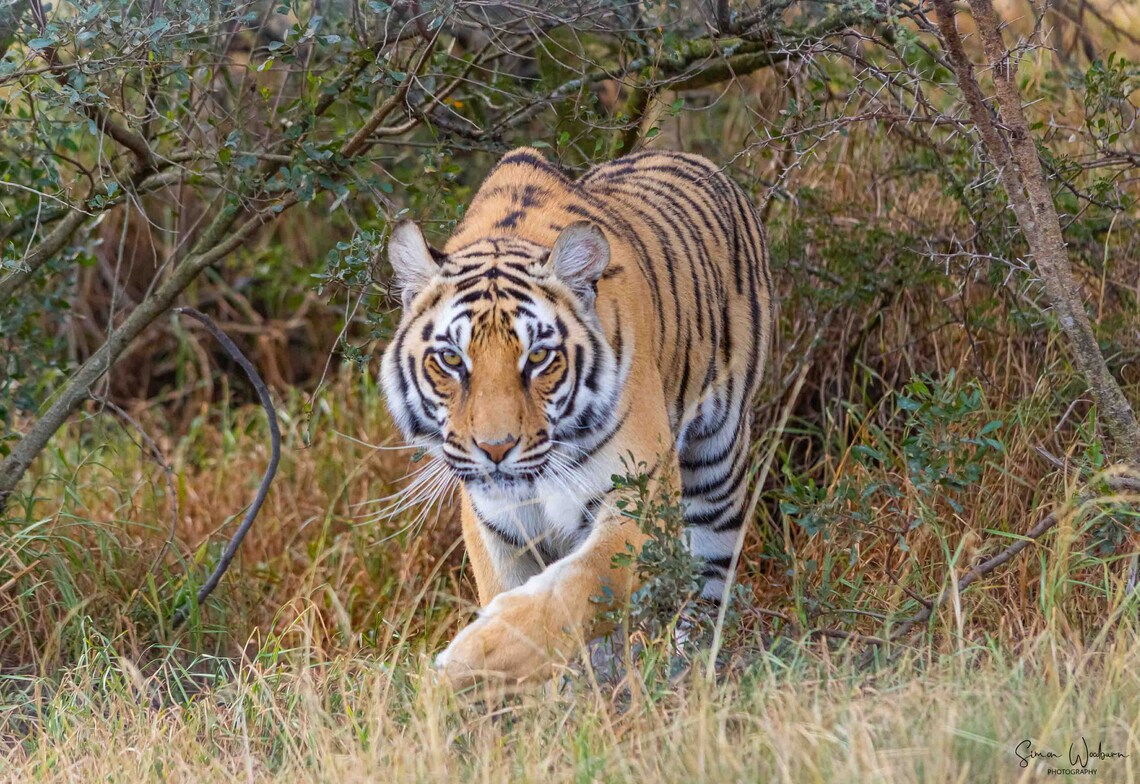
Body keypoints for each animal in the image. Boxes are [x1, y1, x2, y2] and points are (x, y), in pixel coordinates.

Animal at [380, 147, 773, 687]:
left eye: (539, 357)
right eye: (453, 360)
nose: (496, 449)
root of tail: (695, 158)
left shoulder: (639, 494)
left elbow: (580, 588)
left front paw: (472, 659)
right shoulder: (494, 522)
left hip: (717, 468)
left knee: (709, 577)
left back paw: (690, 668)